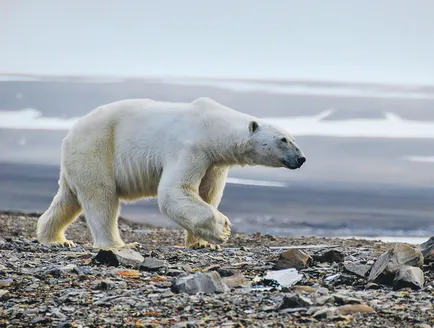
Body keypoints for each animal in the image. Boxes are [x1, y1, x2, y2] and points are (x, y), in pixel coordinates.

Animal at [37, 97, 306, 249]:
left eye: (293, 138)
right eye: (283, 140)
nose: (301, 158)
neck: (212, 127)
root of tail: (70, 134)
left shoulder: (214, 162)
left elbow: (206, 194)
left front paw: (203, 245)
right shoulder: (190, 147)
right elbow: (175, 190)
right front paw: (223, 229)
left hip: (77, 161)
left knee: (68, 199)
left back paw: (56, 239)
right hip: (98, 148)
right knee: (101, 198)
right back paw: (116, 244)